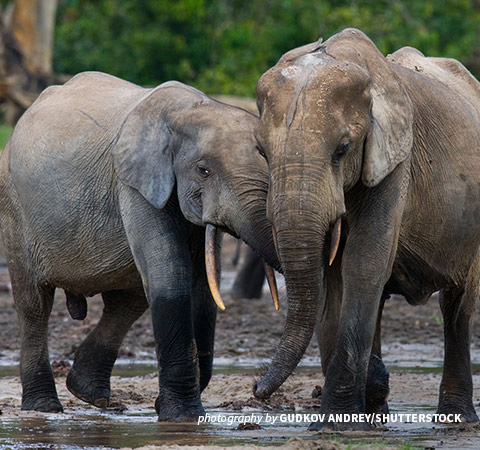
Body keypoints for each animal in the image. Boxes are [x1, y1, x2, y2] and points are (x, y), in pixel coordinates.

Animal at [0, 71, 282, 422]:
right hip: (14, 206)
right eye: (203, 170)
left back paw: (89, 394)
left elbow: (203, 289)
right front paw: (182, 418)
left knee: (129, 300)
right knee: (34, 305)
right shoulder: (135, 184)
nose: (258, 388)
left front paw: (171, 409)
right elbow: (171, 278)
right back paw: (44, 407)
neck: (190, 110)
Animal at [251, 28, 480, 428]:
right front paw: (348, 412)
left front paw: (339, 419)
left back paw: (456, 418)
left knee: (458, 308)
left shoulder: (395, 160)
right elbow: (333, 279)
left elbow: (363, 264)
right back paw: (376, 409)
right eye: (262, 152)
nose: (256, 389)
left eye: (342, 149)